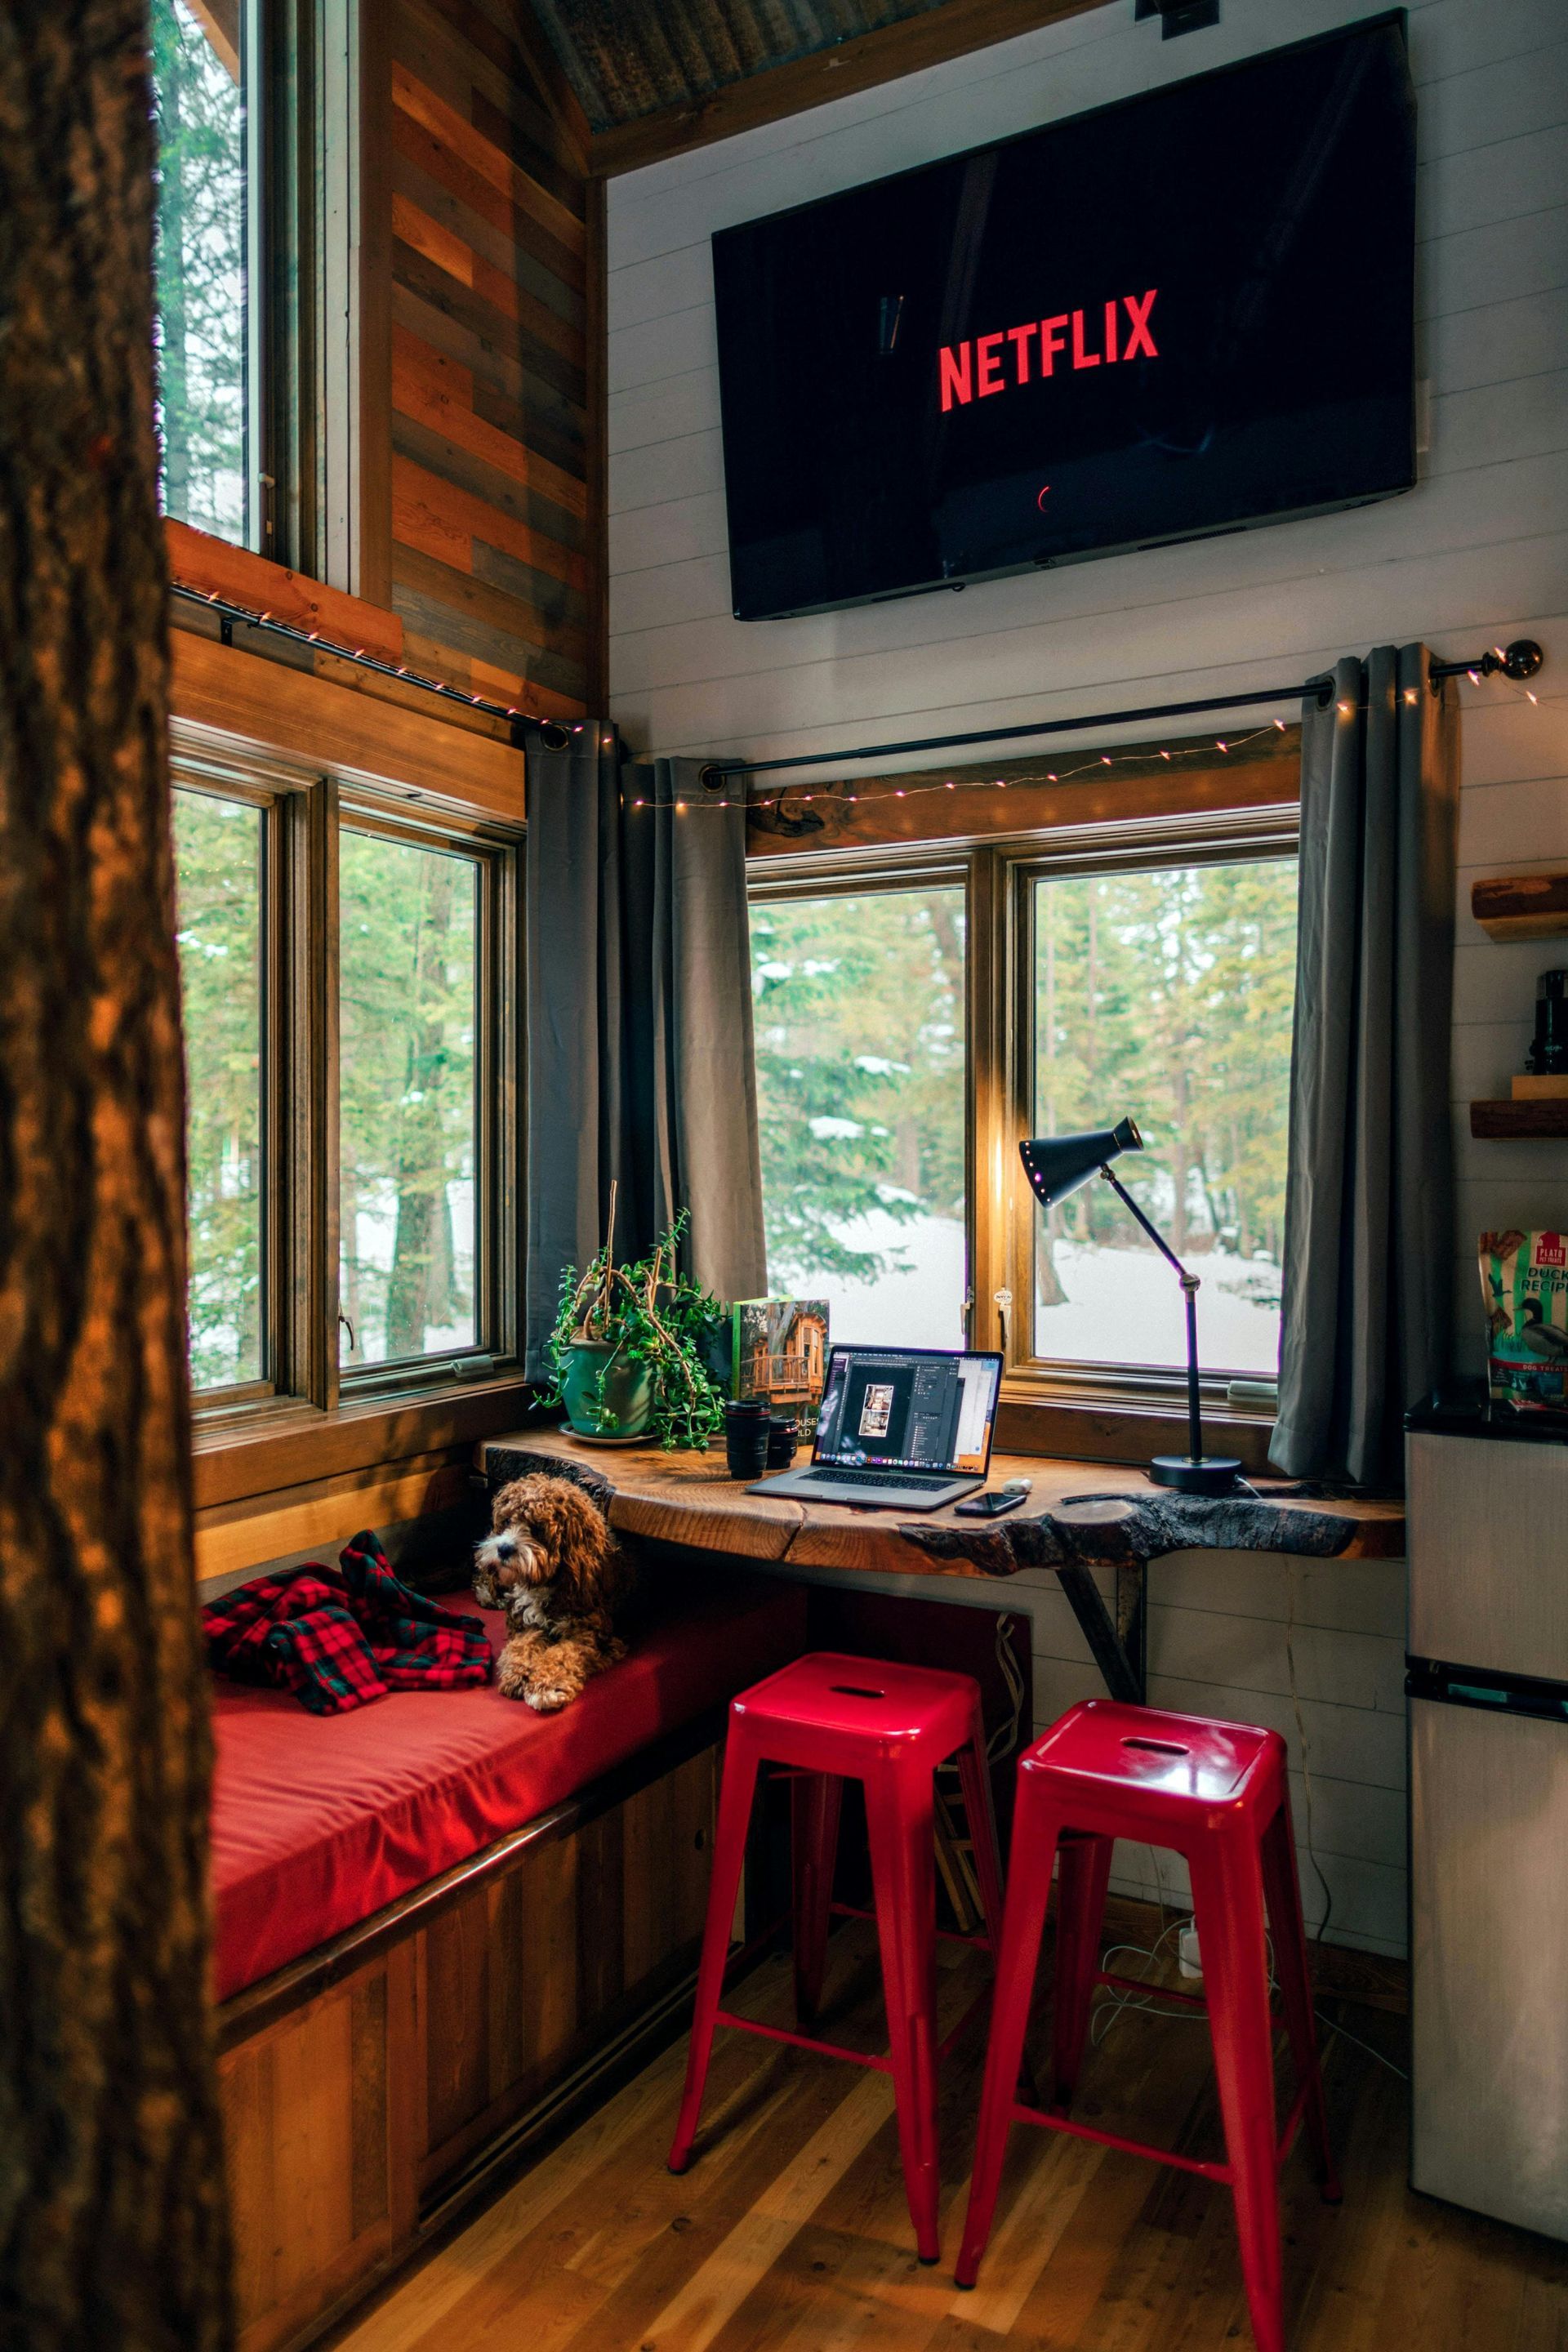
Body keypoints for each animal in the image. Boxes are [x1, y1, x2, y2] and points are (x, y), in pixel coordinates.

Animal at [472, 1468, 639, 1712]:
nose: (503, 1549)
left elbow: (562, 1654)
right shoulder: (526, 1626)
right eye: (507, 1521)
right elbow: (520, 1645)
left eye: (538, 1529)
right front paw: (517, 1672)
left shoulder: (593, 1635)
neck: (544, 1584)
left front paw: (546, 1686)